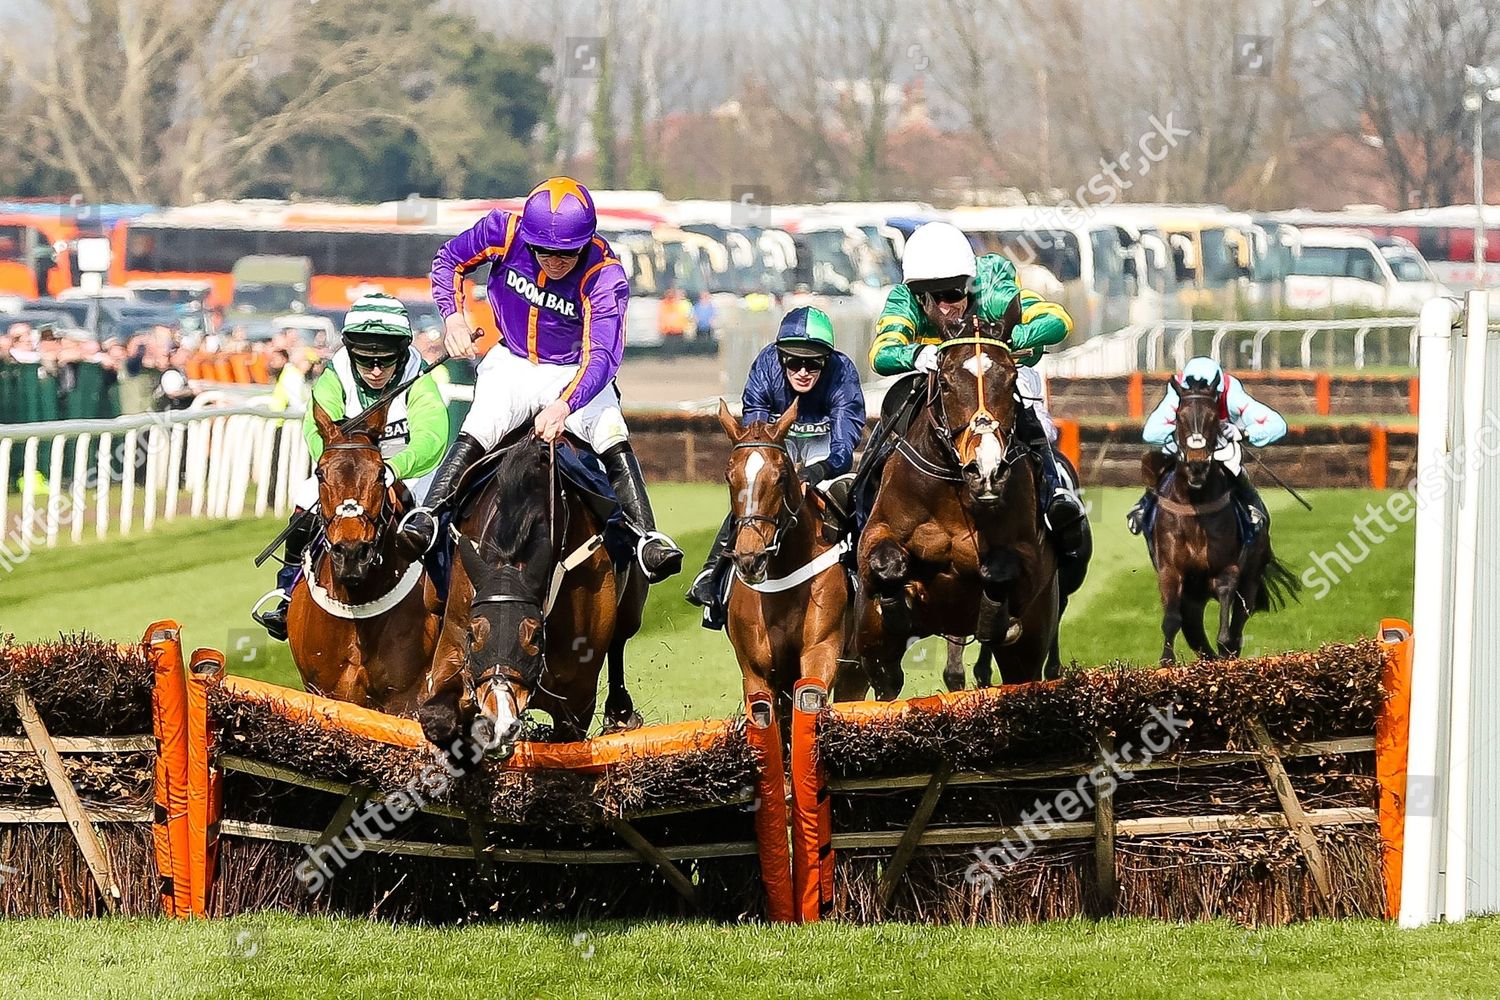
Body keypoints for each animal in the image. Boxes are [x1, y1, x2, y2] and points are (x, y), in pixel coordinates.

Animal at [717, 401, 870, 728]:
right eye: (728, 476)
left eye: (780, 476)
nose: (750, 558)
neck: (781, 578)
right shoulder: (756, 671)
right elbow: (764, 714)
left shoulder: (820, 649)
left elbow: (810, 698)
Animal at [858, 316, 1068, 701]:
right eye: (944, 382)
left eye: (1012, 380)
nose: (986, 470)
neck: (955, 494)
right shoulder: (875, 535)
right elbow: (885, 561)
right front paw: (896, 608)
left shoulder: (1032, 559)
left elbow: (1001, 569)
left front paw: (994, 618)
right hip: (871, 643)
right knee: (884, 680)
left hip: (1029, 647)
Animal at [1146, 374, 1302, 665]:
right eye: (1179, 416)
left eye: (1212, 419)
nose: (1197, 464)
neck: (1196, 504)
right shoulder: (1171, 570)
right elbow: (1172, 619)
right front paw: (1166, 661)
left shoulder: (1227, 568)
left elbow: (1227, 626)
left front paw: (1224, 648)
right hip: (1194, 594)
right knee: (1193, 628)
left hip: (1250, 579)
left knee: (1239, 618)